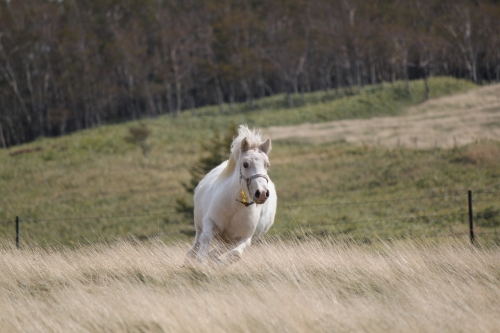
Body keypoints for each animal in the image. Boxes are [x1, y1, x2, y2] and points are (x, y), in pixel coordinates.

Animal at [187, 125, 276, 264]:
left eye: (267, 165)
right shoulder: (210, 223)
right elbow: (205, 240)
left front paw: (216, 264)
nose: (261, 193)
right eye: (245, 164)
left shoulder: (243, 238)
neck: (235, 206)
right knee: (194, 248)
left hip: (227, 242)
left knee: (218, 252)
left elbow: (235, 255)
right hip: (199, 227)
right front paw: (200, 262)